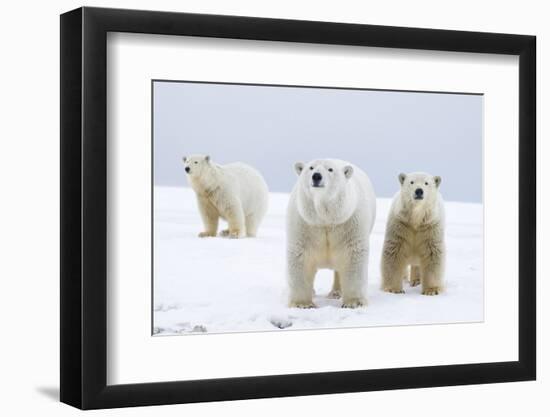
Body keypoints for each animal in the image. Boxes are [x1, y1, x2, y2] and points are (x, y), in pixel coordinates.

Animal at [286, 158, 378, 308]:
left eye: (330, 169)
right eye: (311, 168)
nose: (316, 176)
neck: (326, 220)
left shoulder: (349, 222)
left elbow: (352, 255)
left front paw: (353, 302)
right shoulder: (305, 223)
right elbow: (301, 256)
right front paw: (303, 304)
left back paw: (336, 293)